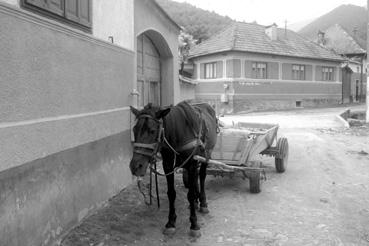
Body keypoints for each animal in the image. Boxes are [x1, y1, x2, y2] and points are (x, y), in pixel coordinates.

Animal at [129, 101, 217, 237]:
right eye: (134, 130)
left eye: (152, 131)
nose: (135, 166)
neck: (179, 133)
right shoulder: (168, 165)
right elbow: (171, 193)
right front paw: (171, 222)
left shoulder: (192, 164)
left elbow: (190, 194)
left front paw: (194, 224)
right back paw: (195, 203)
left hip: (207, 155)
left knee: (202, 176)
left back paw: (202, 203)